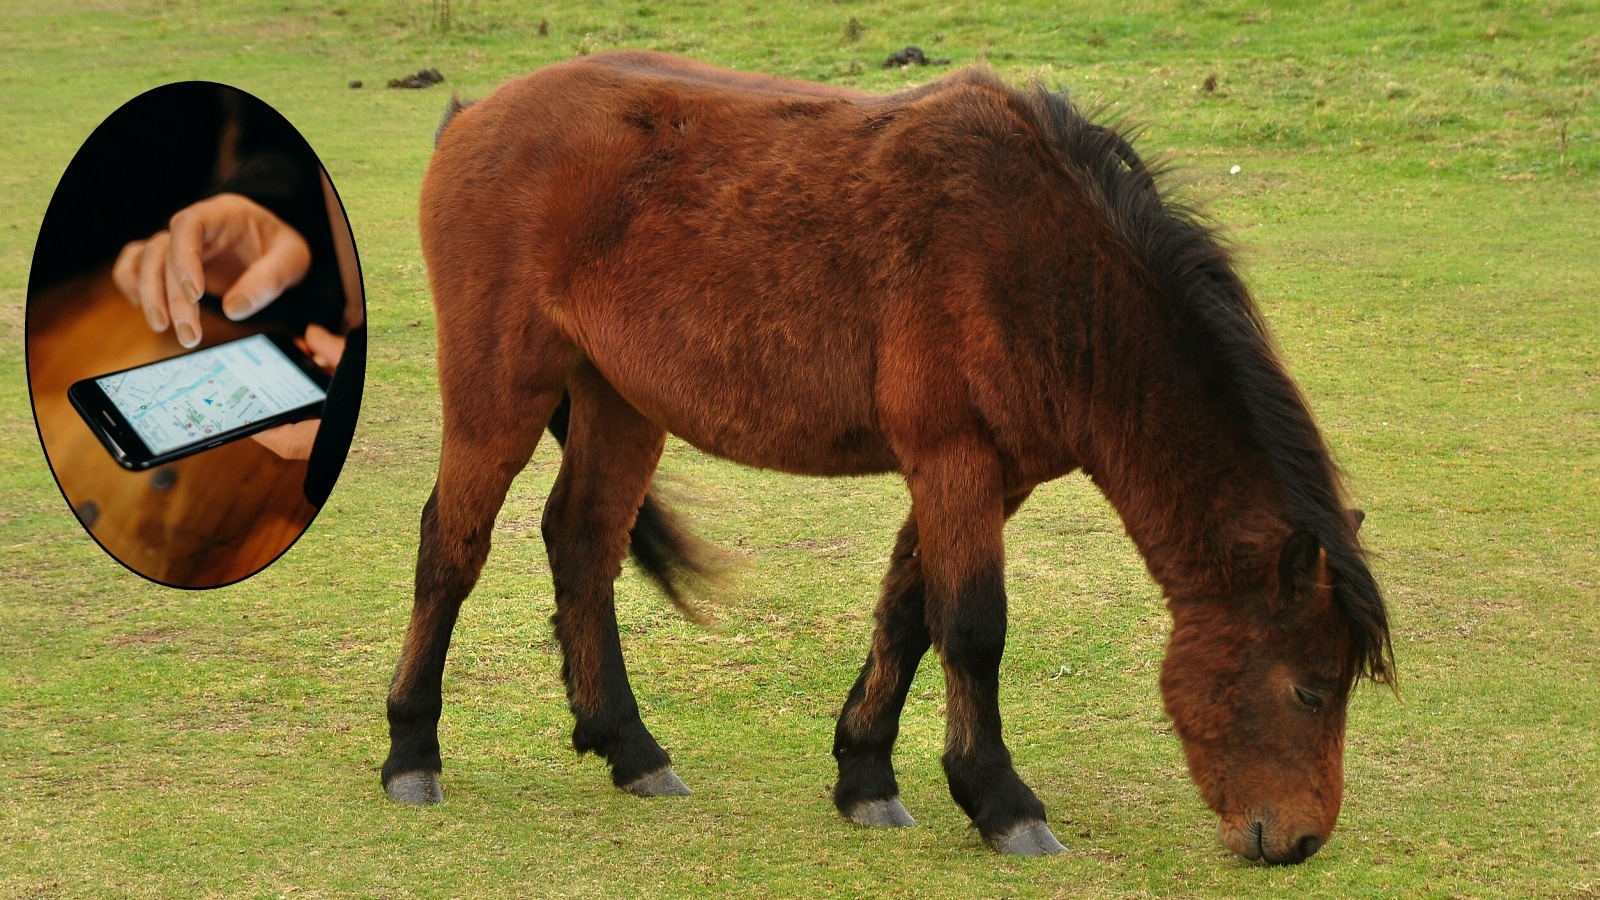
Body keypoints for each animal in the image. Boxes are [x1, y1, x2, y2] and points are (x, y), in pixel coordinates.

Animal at [381, 50, 1393, 864]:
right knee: (452, 548)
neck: (1050, 273)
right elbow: (973, 627)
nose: (1299, 842)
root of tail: (472, 117)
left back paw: (632, 750)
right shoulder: (953, 458)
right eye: (1310, 691)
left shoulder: (990, 476)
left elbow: (909, 613)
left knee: (583, 542)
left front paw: (865, 776)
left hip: (619, 399)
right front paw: (1001, 803)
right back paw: (411, 753)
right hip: (499, 391)